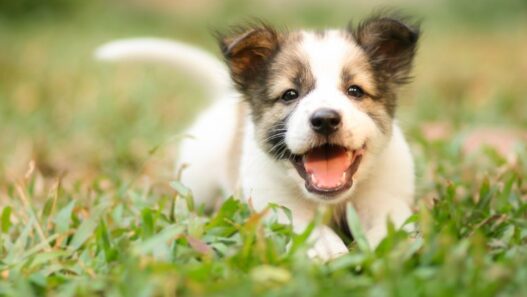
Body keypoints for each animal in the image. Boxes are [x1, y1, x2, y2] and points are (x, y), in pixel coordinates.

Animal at [96, 13, 420, 260]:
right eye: (290, 94)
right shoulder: (275, 204)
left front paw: (390, 250)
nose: (325, 119)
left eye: (355, 91)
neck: (331, 201)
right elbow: (310, 229)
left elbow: (391, 228)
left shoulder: (386, 199)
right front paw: (328, 250)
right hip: (196, 185)